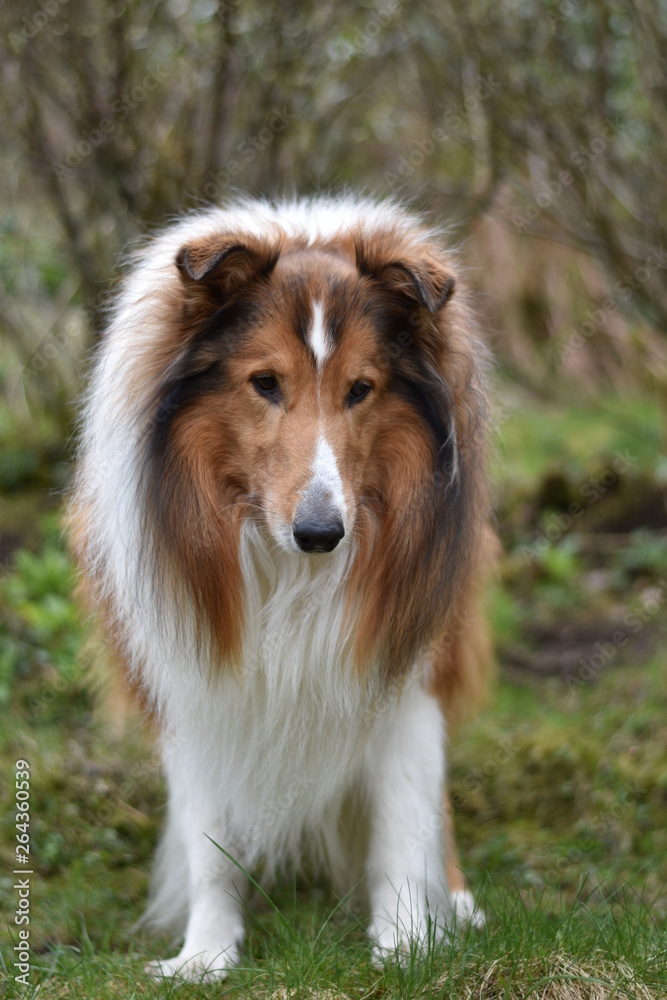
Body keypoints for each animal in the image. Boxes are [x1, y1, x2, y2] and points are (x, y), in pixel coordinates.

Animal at [69, 191, 496, 980]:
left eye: (360, 390)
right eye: (265, 383)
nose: (322, 532)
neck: (290, 569)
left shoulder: (405, 668)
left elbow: (403, 815)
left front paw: (406, 943)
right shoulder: (194, 682)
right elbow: (208, 841)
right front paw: (205, 954)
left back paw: (453, 901)